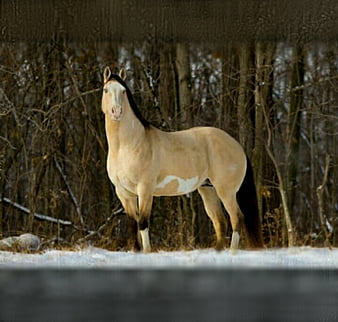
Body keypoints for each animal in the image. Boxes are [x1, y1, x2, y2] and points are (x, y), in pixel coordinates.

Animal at [101, 66, 262, 253]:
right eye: (106, 90)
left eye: (123, 91)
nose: (117, 112)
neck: (127, 146)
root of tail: (237, 146)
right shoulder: (123, 193)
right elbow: (133, 224)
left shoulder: (145, 189)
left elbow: (143, 222)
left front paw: (147, 251)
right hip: (208, 190)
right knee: (220, 222)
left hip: (226, 191)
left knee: (236, 218)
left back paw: (232, 251)